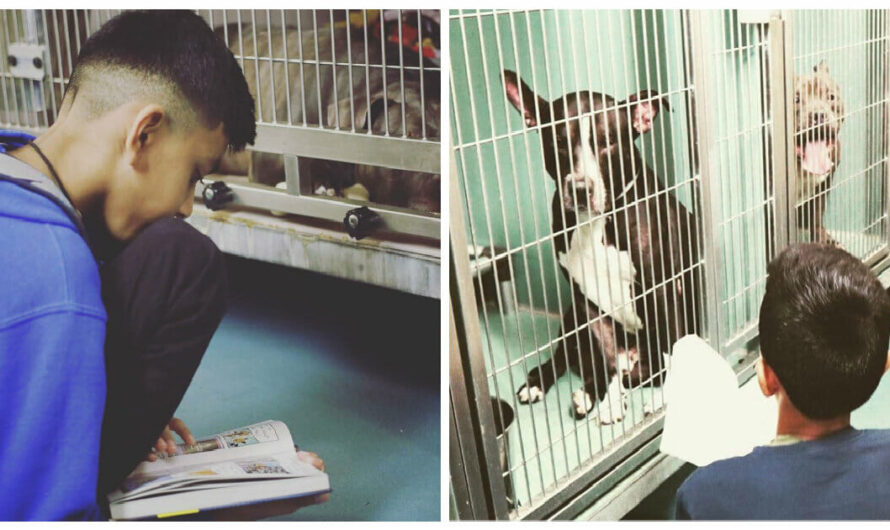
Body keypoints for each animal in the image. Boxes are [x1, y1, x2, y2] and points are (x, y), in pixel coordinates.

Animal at [502, 71, 696, 424]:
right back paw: (551, 385)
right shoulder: (587, 300)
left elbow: (673, 347)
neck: (596, 223)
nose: (581, 188)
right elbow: (607, 358)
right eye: (559, 142)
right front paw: (610, 403)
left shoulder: (663, 288)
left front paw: (666, 399)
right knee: (572, 360)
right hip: (571, 316)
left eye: (608, 142)